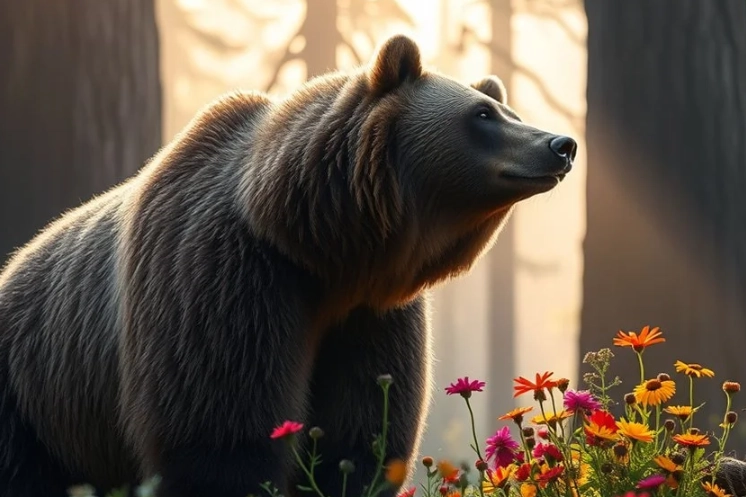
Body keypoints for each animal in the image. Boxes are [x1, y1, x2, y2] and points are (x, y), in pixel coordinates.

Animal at [0, 34, 576, 497]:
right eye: (482, 114)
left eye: (508, 112)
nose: (562, 144)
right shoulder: (224, 278)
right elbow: (220, 433)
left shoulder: (369, 318)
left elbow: (362, 434)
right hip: (32, 397)